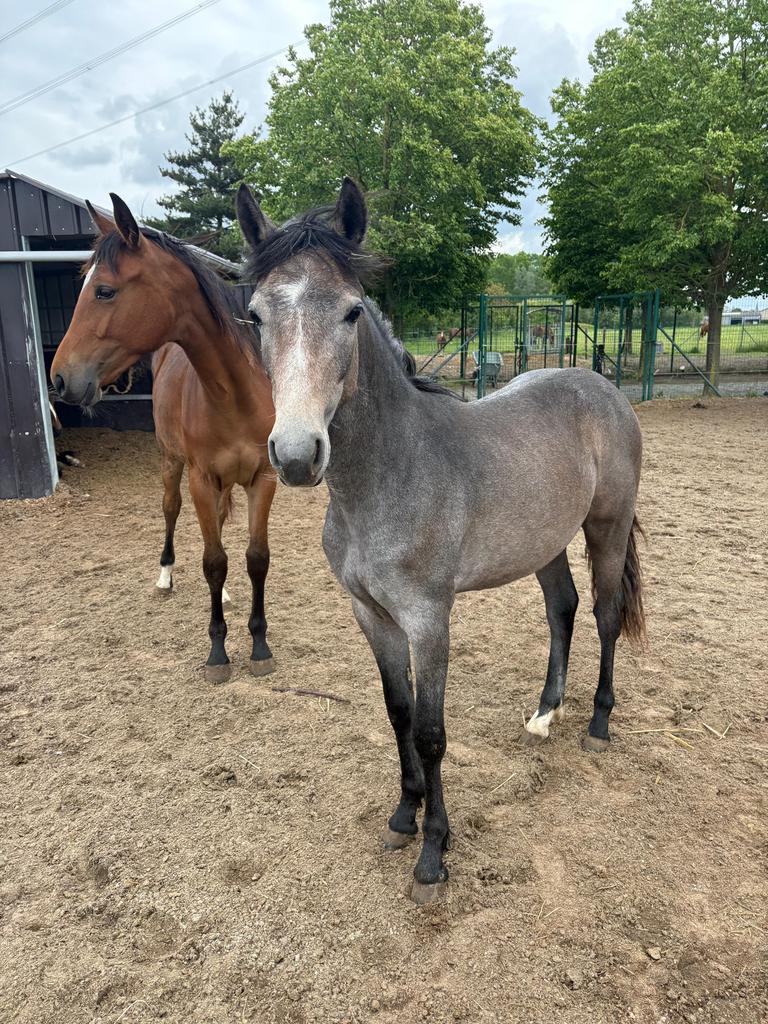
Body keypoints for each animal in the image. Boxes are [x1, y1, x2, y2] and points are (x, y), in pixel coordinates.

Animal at [50, 194, 276, 683]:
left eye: (104, 291)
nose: (59, 378)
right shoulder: (200, 479)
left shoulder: (262, 480)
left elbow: (254, 558)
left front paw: (259, 645)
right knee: (171, 511)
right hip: (172, 465)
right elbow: (214, 561)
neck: (235, 395)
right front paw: (218, 653)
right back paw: (165, 576)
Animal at [236, 178, 645, 905]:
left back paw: (598, 722)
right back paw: (544, 715)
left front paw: (434, 851)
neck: (388, 475)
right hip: (545, 543)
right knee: (562, 608)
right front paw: (404, 814)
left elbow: (430, 733)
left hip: (608, 527)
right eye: (255, 316)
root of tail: (602, 387)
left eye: (350, 313)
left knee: (603, 612)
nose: (297, 455)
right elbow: (397, 712)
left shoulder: (428, 618)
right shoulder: (371, 614)